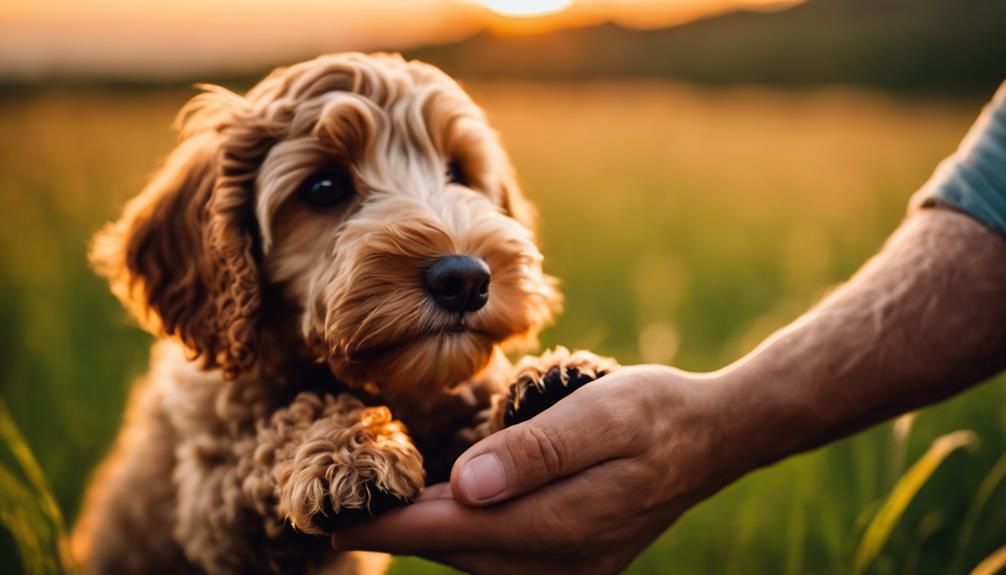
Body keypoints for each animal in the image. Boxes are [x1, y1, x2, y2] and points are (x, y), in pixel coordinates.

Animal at [70, 53, 615, 575]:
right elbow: (273, 432)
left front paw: (545, 378)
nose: (465, 279)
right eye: (324, 187)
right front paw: (346, 452)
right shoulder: (211, 494)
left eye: (458, 172)